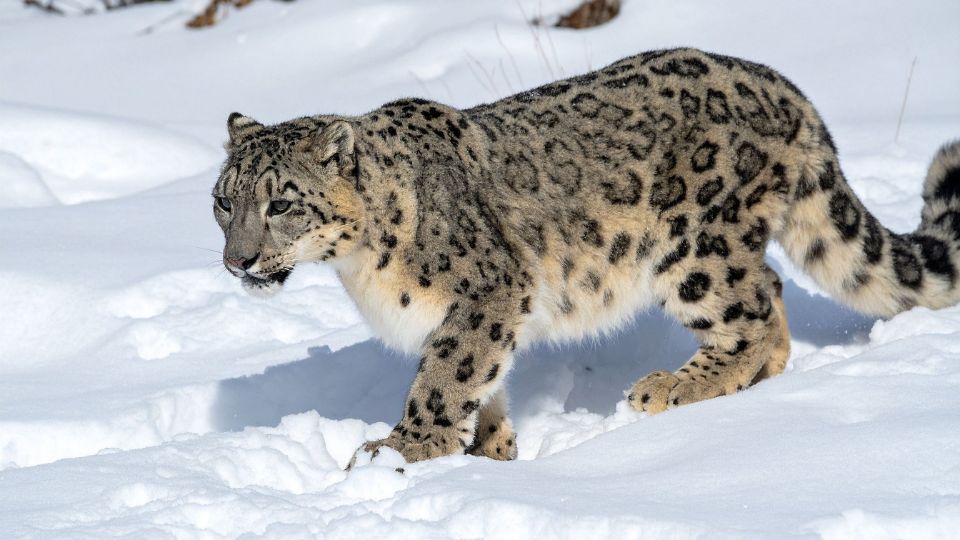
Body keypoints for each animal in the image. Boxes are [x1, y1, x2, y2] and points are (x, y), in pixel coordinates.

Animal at [212, 47, 960, 464]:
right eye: (223, 201)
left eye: (281, 204)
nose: (238, 262)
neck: (359, 267)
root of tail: (783, 87)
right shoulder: (478, 314)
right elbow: (483, 381)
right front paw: (491, 453)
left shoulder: (488, 291)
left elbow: (447, 376)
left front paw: (401, 450)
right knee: (770, 298)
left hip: (696, 248)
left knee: (754, 306)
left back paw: (673, 387)